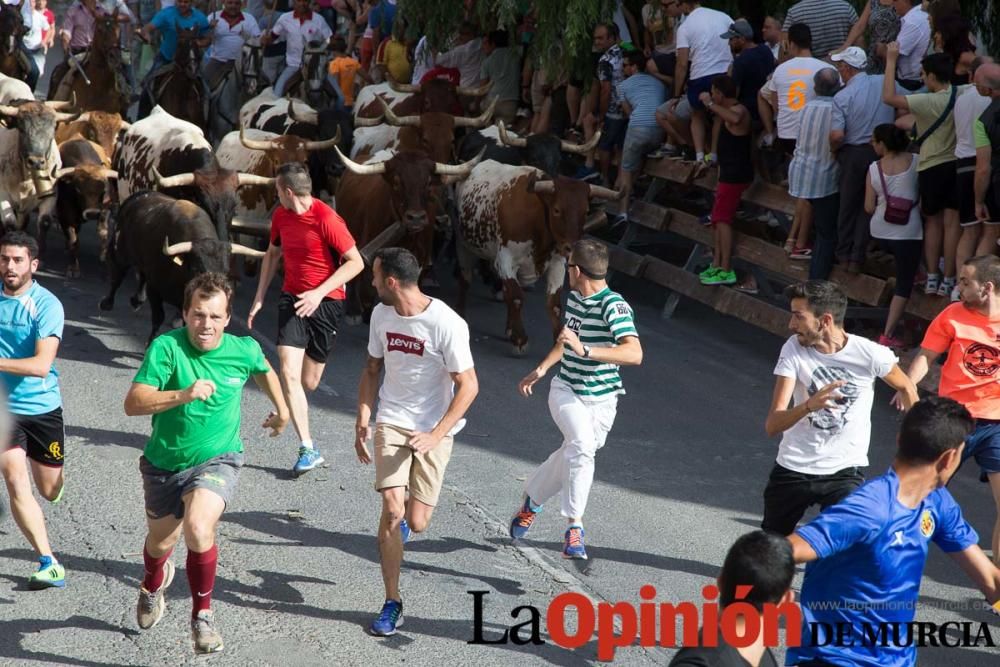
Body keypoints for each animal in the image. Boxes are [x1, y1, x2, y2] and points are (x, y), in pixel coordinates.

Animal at [458, 161, 620, 354]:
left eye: (586, 211)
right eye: (557, 210)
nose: (572, 247)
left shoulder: (558, 263)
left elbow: (554, 304)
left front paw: (560, 342)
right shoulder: (505, 260)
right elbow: (516, 297)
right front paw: (520, 338)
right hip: (464, 246)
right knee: (465, 279)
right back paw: (460, 312)